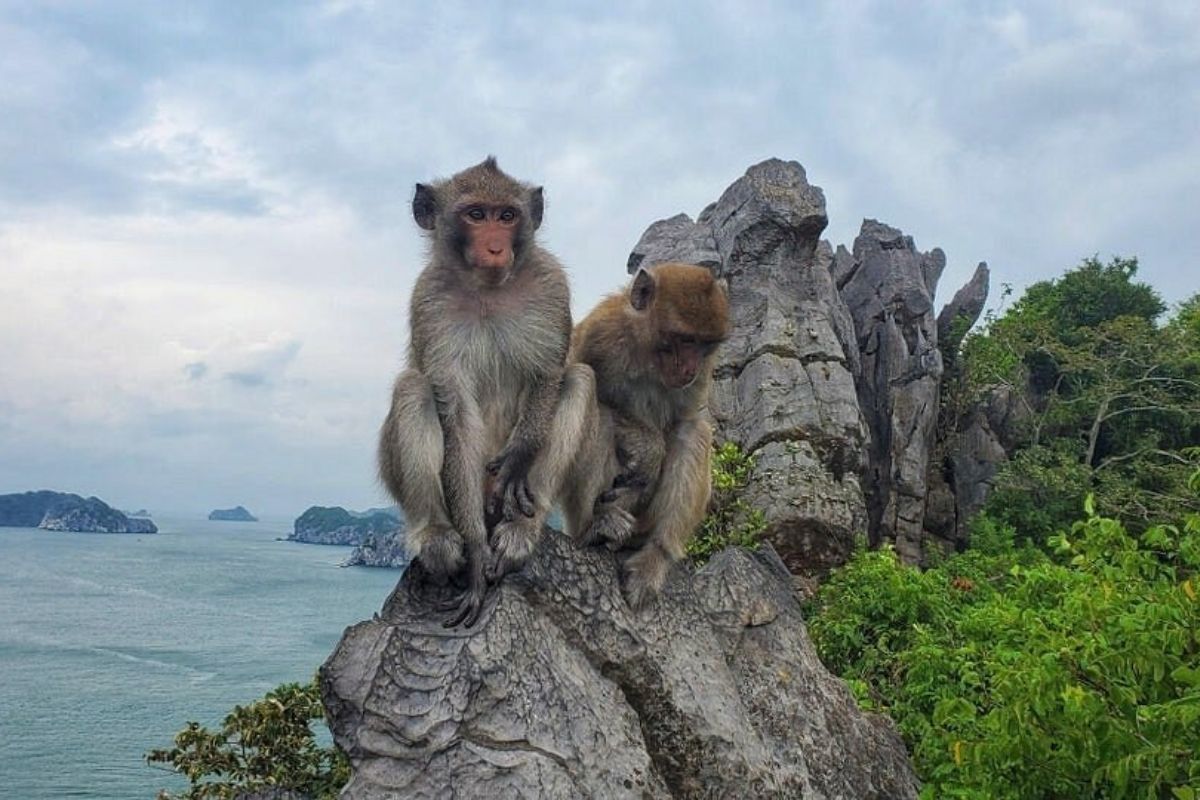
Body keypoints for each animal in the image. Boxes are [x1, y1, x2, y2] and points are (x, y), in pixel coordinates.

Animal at [379, 155, 595, 628]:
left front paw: (518, 458)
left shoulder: (551, 284)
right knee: (413, 389)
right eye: (476, 215)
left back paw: (520, 532)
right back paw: (439, 537)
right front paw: (477, 555)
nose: (496, 248)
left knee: (580, 380)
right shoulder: (429, 301)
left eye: (507, 216)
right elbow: (454, 411)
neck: (488, 289)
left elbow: (550, 373)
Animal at [561, 262, 729, 606]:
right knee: (597, 410)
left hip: (645, 520)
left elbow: (684, 421)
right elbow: (582, 384)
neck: (647, 354)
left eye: (705, 345)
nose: (690, 368)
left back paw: (655, 555)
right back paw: (593, 528)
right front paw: (649, 451)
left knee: (692, 432)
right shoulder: (600, 333)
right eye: (684, 339)